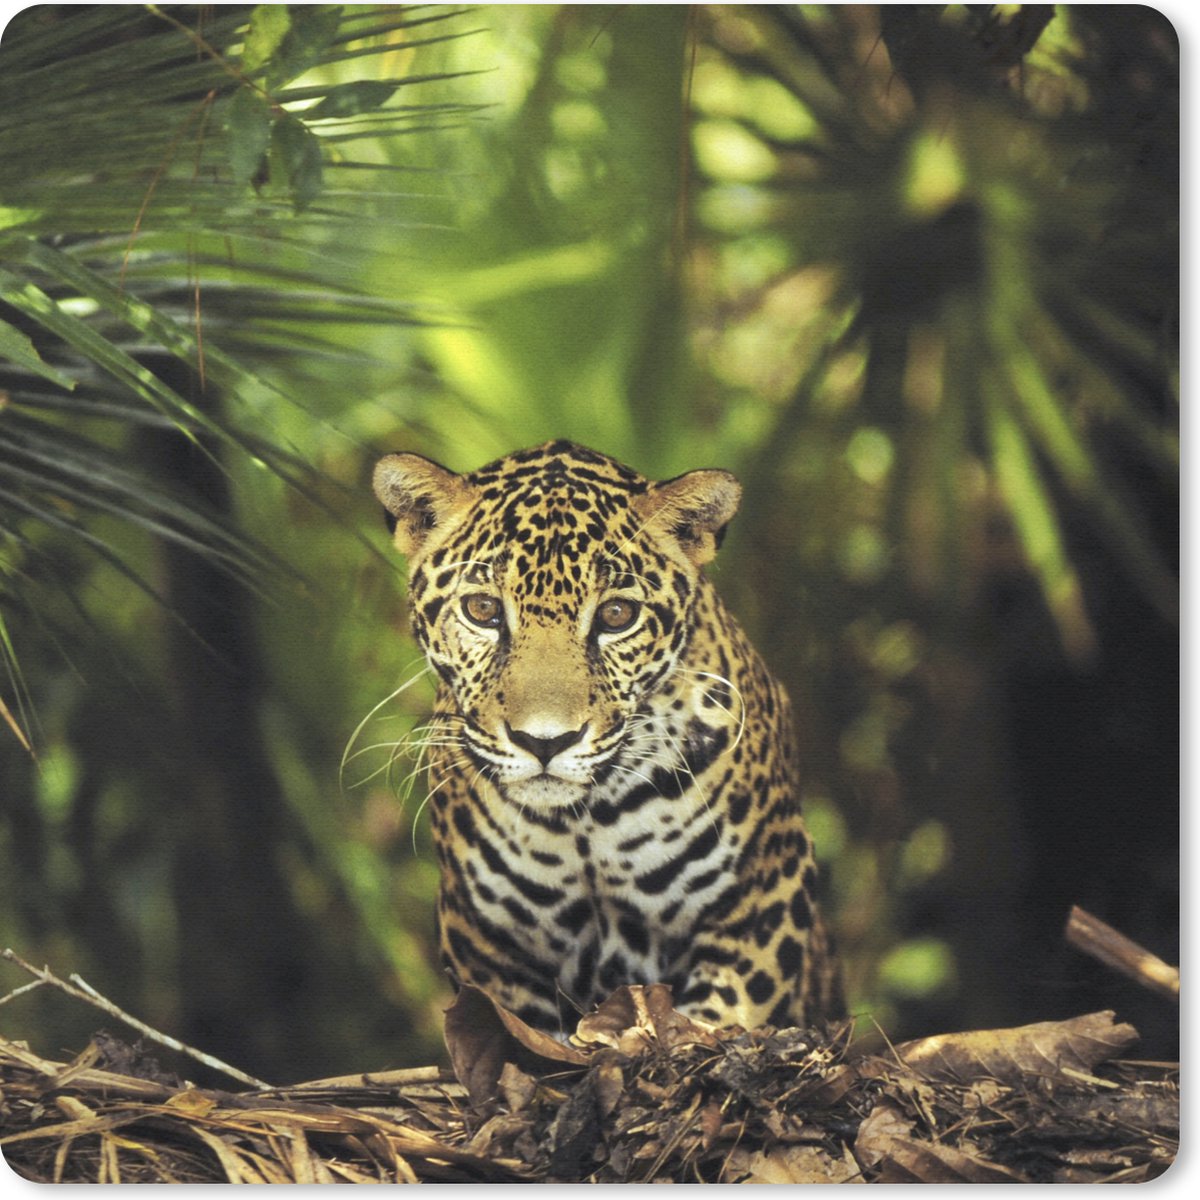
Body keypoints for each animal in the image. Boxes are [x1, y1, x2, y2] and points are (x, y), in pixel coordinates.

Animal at [371, 439, 841, 1035]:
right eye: (483, 610)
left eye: (617, 615)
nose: (545, 742)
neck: (586, 824)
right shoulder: (488, 943)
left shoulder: (765, 899)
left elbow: (722, 1019)